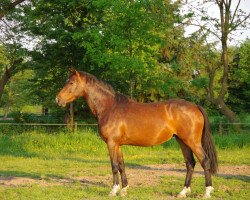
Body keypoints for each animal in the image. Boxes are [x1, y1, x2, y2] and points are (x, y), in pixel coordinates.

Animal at [56, 67, 217, 198]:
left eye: (71, 83)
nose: (58, 100)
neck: (110, 107)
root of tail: (195, 106)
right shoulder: (118, 145)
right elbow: (121, 165)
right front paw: (124, 190)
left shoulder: (111, 143)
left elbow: (114, 166)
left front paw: (113, 190)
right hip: (182, 141)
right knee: (190, 163)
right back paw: (183, 192)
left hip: (192, 141)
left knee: (205, 161)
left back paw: (207, 192)